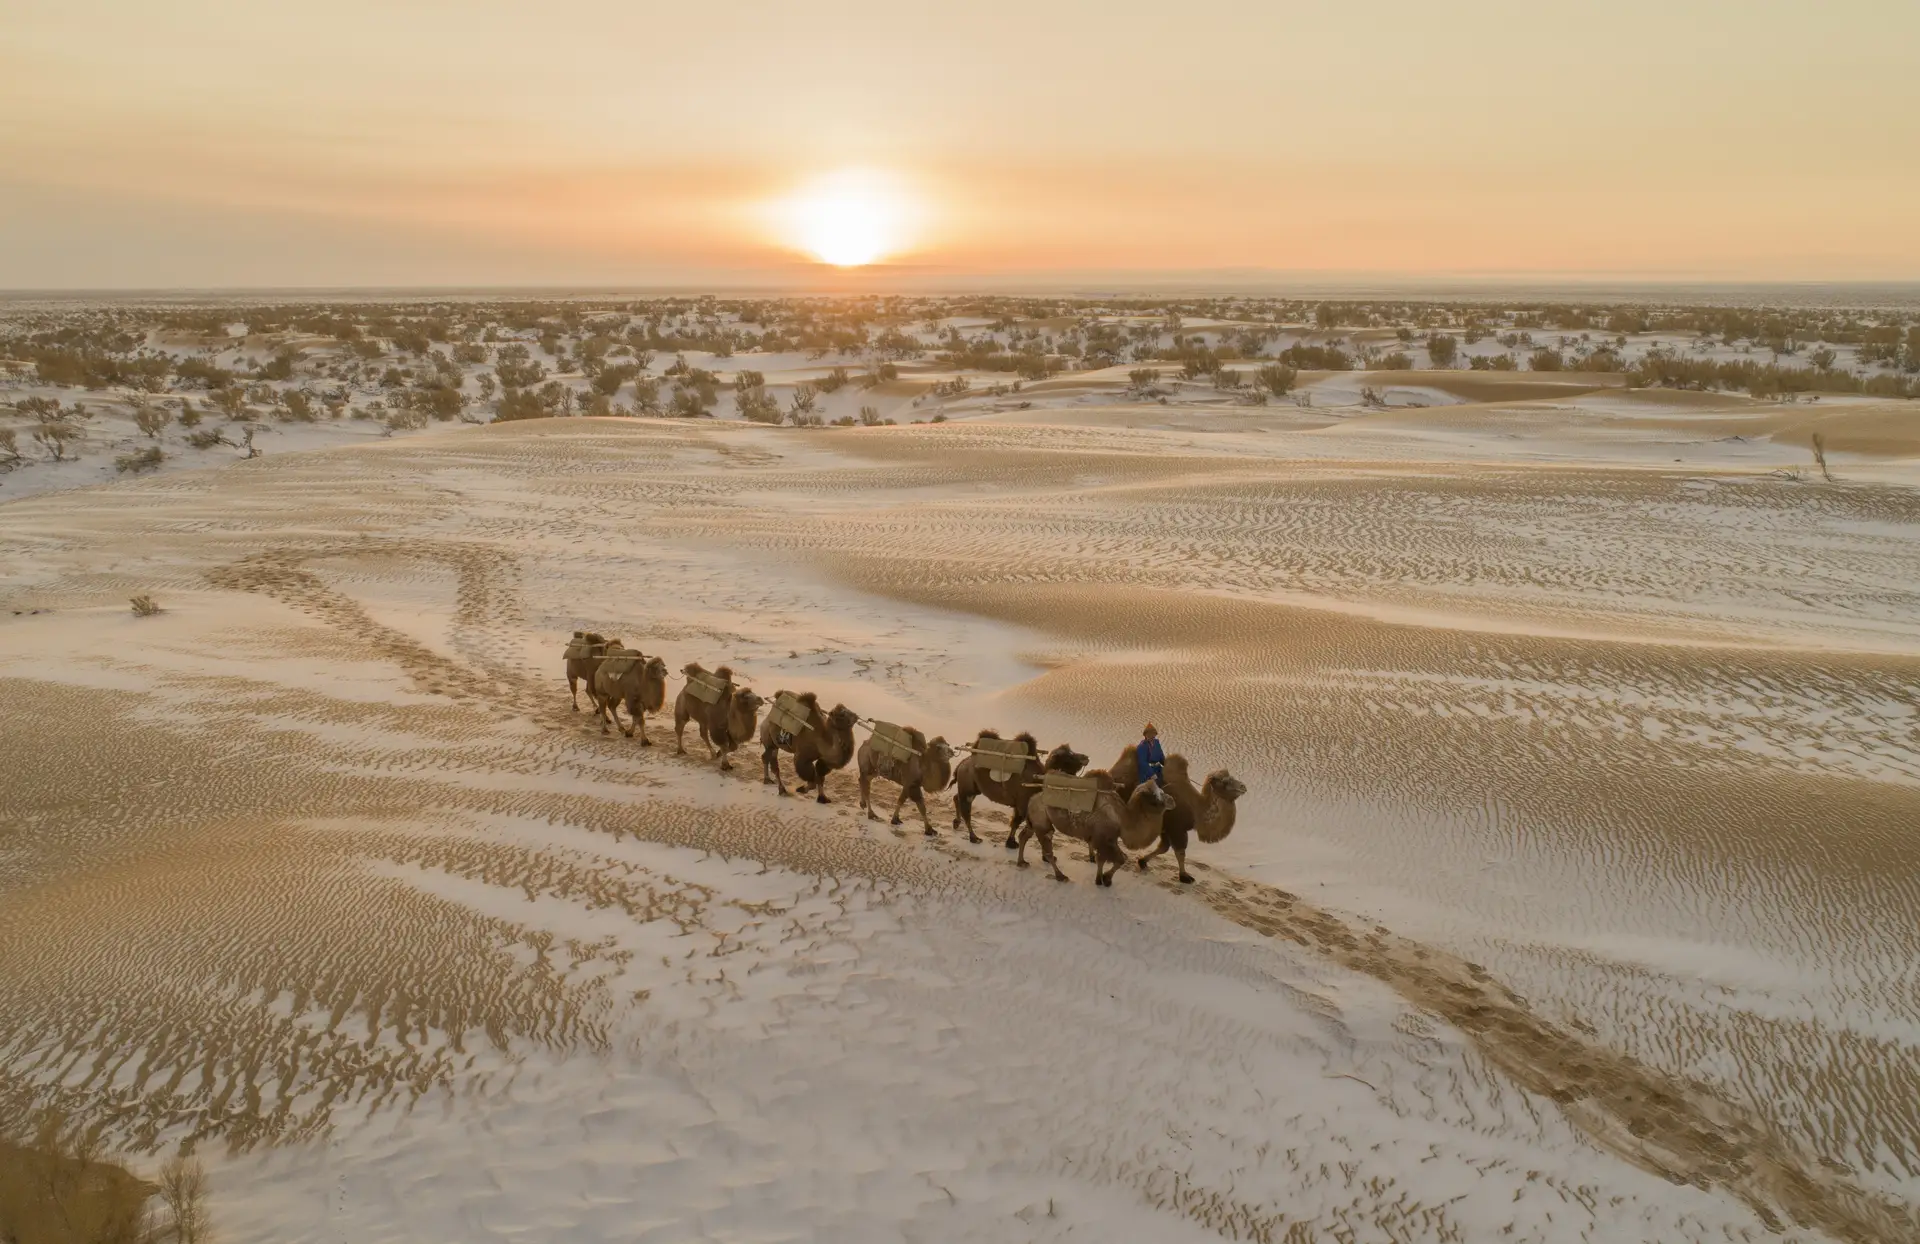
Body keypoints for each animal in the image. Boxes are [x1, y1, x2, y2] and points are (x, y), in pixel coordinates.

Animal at [952, 729, 1090, 844]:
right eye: (1069, 756)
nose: (1086, 757)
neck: (1038, 778)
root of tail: (962, 764)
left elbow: (1016, 822)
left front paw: (1011, 842)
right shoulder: (1023, 802)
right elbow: (1018, 822)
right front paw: (1011, 843)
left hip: (973, 788)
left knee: (957, 798)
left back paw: (956, 823)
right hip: (967, 783)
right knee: (966, 810)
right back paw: (974, 837)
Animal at [1021, 775, 1167, 883]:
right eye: (1155, 798)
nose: (1170, 801)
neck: (1122, 818)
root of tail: (1032, 798)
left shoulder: (1108, 839)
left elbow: (1109, 859)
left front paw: (1102, 879)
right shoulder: (1104, 838)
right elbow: (1117, 859)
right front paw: (1105, 880)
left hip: (1035, 820)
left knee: (1024, 835)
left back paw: (1021, 862)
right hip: (1041, 821)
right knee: (1048, 849)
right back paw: (1061, 876)